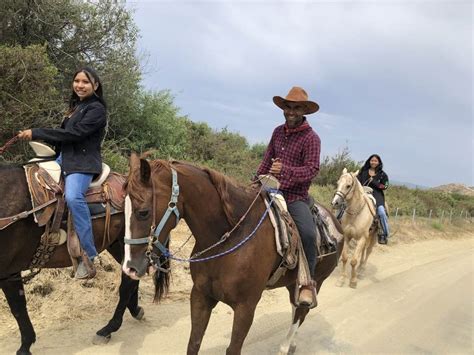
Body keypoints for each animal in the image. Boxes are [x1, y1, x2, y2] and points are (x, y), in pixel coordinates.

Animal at [0, 165, 168, 355]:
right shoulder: (10, 273)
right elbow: (18, 307)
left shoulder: (7, 272)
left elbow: (18, 307)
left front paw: (25, 345)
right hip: (120, 246)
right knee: (131, 277)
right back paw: (135, 310)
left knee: (127, 284)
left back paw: (108, 329)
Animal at [121, 156, 344, 355]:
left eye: (143, 212)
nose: (129, 267)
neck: (230, 236)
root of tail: (335, 222)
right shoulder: (201, 296)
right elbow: (193, 343)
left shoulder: (246, 308)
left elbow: (233, 349)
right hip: (292, 283)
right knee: (295, 308)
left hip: (317, 281)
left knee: (302, 311)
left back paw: (284, 347)